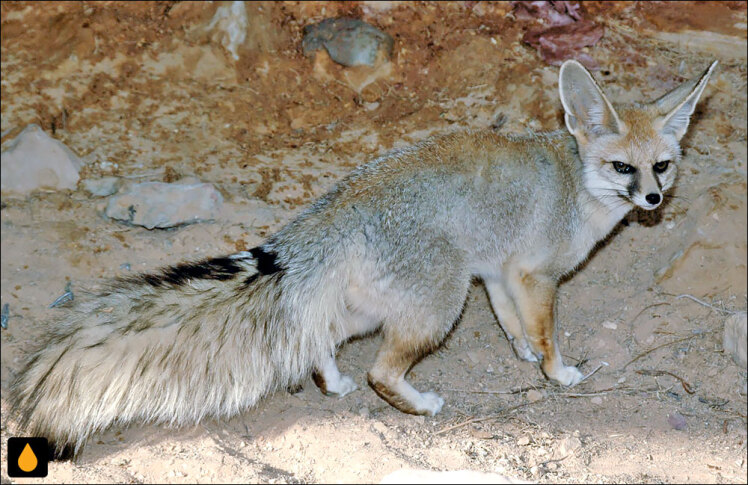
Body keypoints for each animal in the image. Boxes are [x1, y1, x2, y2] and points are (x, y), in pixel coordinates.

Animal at [7, 58, 720, 456]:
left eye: (662, 164)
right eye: (623, 168)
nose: (654, 198)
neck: (575, 185)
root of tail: (325, 216)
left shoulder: (498, 274)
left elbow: (514, 324)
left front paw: (521, 353)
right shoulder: (532, 275)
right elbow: (545, 333)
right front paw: (559, 373)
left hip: (388, 305)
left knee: (319, 344)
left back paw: (337, 383)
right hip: (439, 303)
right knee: (381, 370)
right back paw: (419, 404)